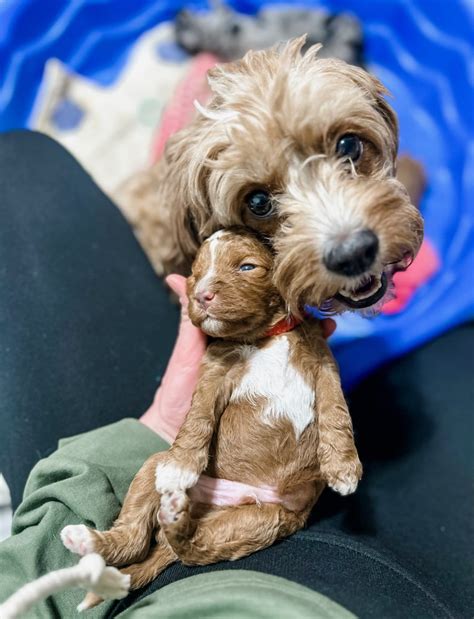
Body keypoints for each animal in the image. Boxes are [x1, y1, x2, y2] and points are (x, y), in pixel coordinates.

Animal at [61, 229, 362, 604]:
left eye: (247, 267)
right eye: (194, 274)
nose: (201, 295)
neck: (267, 338)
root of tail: (209, 507)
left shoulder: (324, 366)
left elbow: (336, 410)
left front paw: (343, 467)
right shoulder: (214, 374)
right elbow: (199, 416)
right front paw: (180, 467)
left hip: (258, 521)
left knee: (195, 548)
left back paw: (174, 522)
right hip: (152, 468)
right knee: (139, 538)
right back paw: (95, 537)